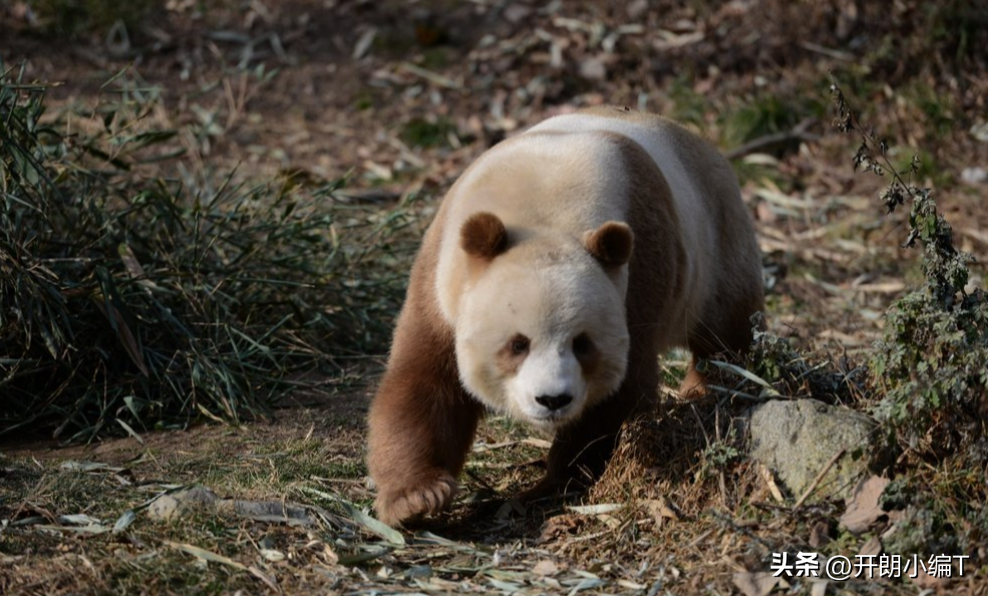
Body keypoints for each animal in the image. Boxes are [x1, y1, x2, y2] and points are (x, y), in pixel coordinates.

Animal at [366, 107, 760, 528]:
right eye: (517, 345)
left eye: (582, 344)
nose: (552, 399)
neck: (544, 213)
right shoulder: (443, 276)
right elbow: (425, 381)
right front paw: (417, 498)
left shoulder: (637, 269)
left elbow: (621, 389)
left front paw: (556, 480)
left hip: (715, 241)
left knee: (725, 333)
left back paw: (710, 389)